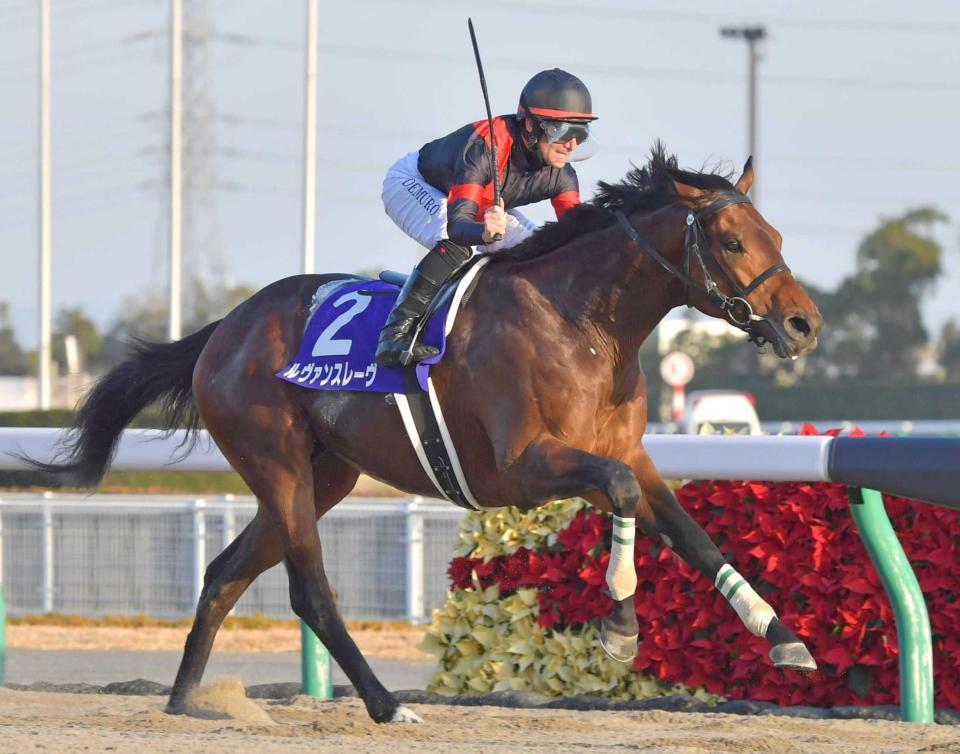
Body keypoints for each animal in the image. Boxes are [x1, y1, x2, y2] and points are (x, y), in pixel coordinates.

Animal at [28, 144, 822, 724]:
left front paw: (783, 637)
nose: (803, 324)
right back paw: (385, 705)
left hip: (326, 472)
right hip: (276, 460)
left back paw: (185, 700)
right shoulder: (524, 467)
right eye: (731, 240)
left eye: (777, 235)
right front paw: (622, 627)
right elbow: (623, 495)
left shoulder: (627, 453)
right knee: (308, 589)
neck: (581, 323)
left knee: (224, 573)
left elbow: (693, 535)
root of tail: (225, 328)